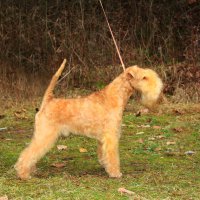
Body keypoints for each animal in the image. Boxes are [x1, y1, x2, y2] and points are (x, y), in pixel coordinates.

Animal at [15, 59, 162, 180]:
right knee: (29, 153)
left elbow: (103, 154)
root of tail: (48, 101)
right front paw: (115, 173)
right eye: (144, 77)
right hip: (45, 134)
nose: (160, 89)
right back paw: (23, 174)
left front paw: (105, 166)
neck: (114, 96)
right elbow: (112, 156)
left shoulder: (103, 138)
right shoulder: (111, 136)